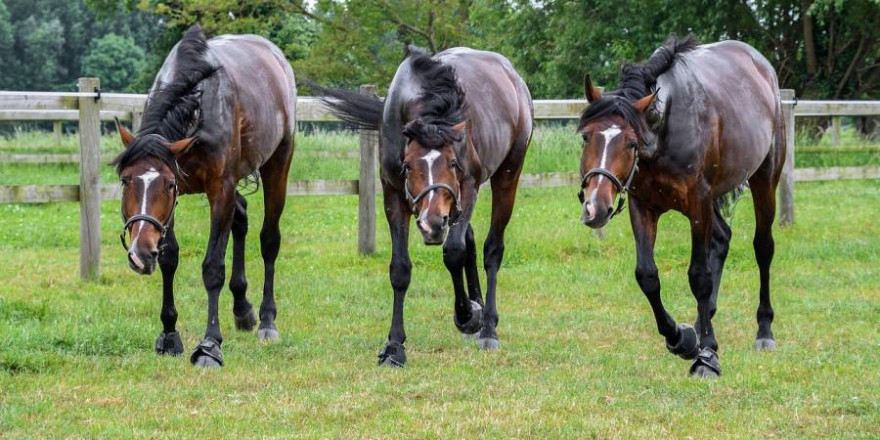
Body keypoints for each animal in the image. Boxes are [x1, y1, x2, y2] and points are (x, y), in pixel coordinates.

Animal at [109, 24, 296, 368]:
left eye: (168, 185)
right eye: (126, 180)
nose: (140, 253)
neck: (195, 105)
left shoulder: (219, 189)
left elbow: (212, 267)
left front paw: (210, 345)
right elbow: (169, 258)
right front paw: (169, 334)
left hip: (278, 164)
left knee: (268, 240)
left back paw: (266, 321)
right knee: (241, 218)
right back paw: (242, 309)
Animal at [318, 45, 536, 368]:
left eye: (454, 163)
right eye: (408, 166)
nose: (432, 223)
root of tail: (512, 76)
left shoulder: (466, 188)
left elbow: (454, 252)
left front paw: (467, 317)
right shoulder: (394, 195)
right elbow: (400, 269)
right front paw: (394, 347)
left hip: (507, 175)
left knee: (491, 249)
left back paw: (487, 327)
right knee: (470, 240)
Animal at [576, 36, 784, 376]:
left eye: (631, 143)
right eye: (585, 138)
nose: (596, 206)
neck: (664, 131)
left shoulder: (698, 203)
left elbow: (699, 276)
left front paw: (707, 355)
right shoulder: (643, 206)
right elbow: (647, 275)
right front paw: (682, 339)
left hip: (764, 179)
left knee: (763, 248)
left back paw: (764, 331)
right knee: (722, 239)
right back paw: (703, 324)